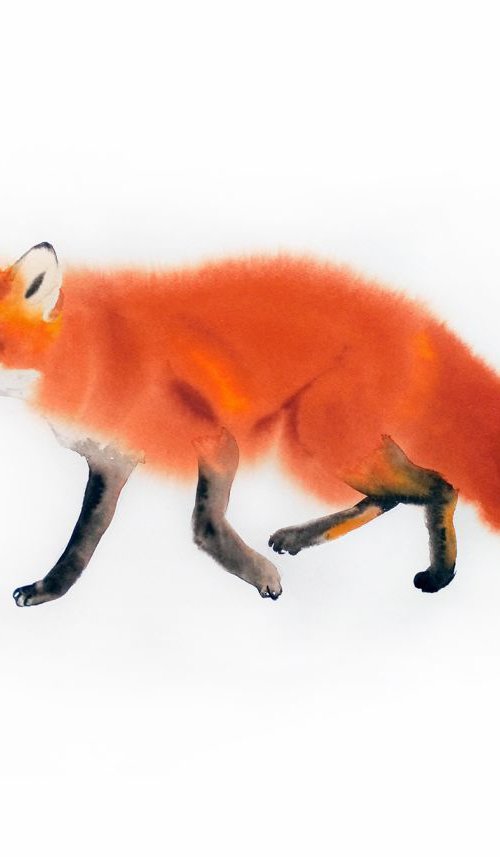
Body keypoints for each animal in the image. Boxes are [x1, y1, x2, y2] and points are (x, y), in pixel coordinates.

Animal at [1, 241, 499, 607]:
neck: (93, 355)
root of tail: (417, 321)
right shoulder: (110, 461)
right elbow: (82, 541)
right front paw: (50, 589)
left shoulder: (213, 438)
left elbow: (204, 523)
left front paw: (260, 576)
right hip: (342, 443)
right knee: (392, 496)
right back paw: (306, 537)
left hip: (318, 440)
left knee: (438, 488)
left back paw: (440, 574)